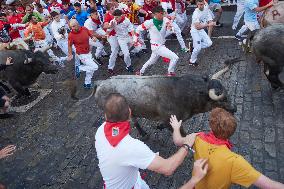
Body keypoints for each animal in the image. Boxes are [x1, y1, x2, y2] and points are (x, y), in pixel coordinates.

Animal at [72, 58, 241, 137]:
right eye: (221, 98)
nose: (235, 108)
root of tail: (101, 82)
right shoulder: (171, 119)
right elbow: (183, 134)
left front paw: (158, 127)